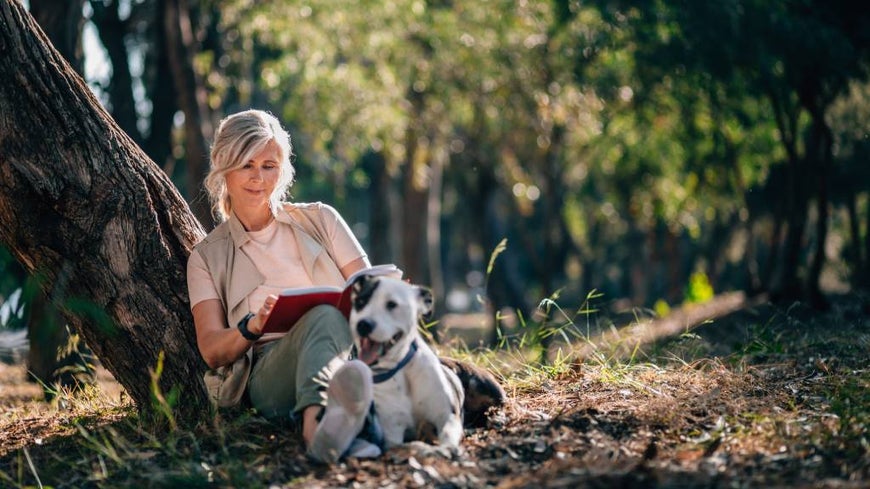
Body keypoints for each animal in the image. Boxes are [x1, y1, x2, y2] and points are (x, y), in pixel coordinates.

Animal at [350, 274, 466, 450]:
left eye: (392, 304)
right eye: (360, 302)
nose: (363, 324)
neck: (399, 369)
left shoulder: (447, 416)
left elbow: (447, 435)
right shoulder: (393, 432)